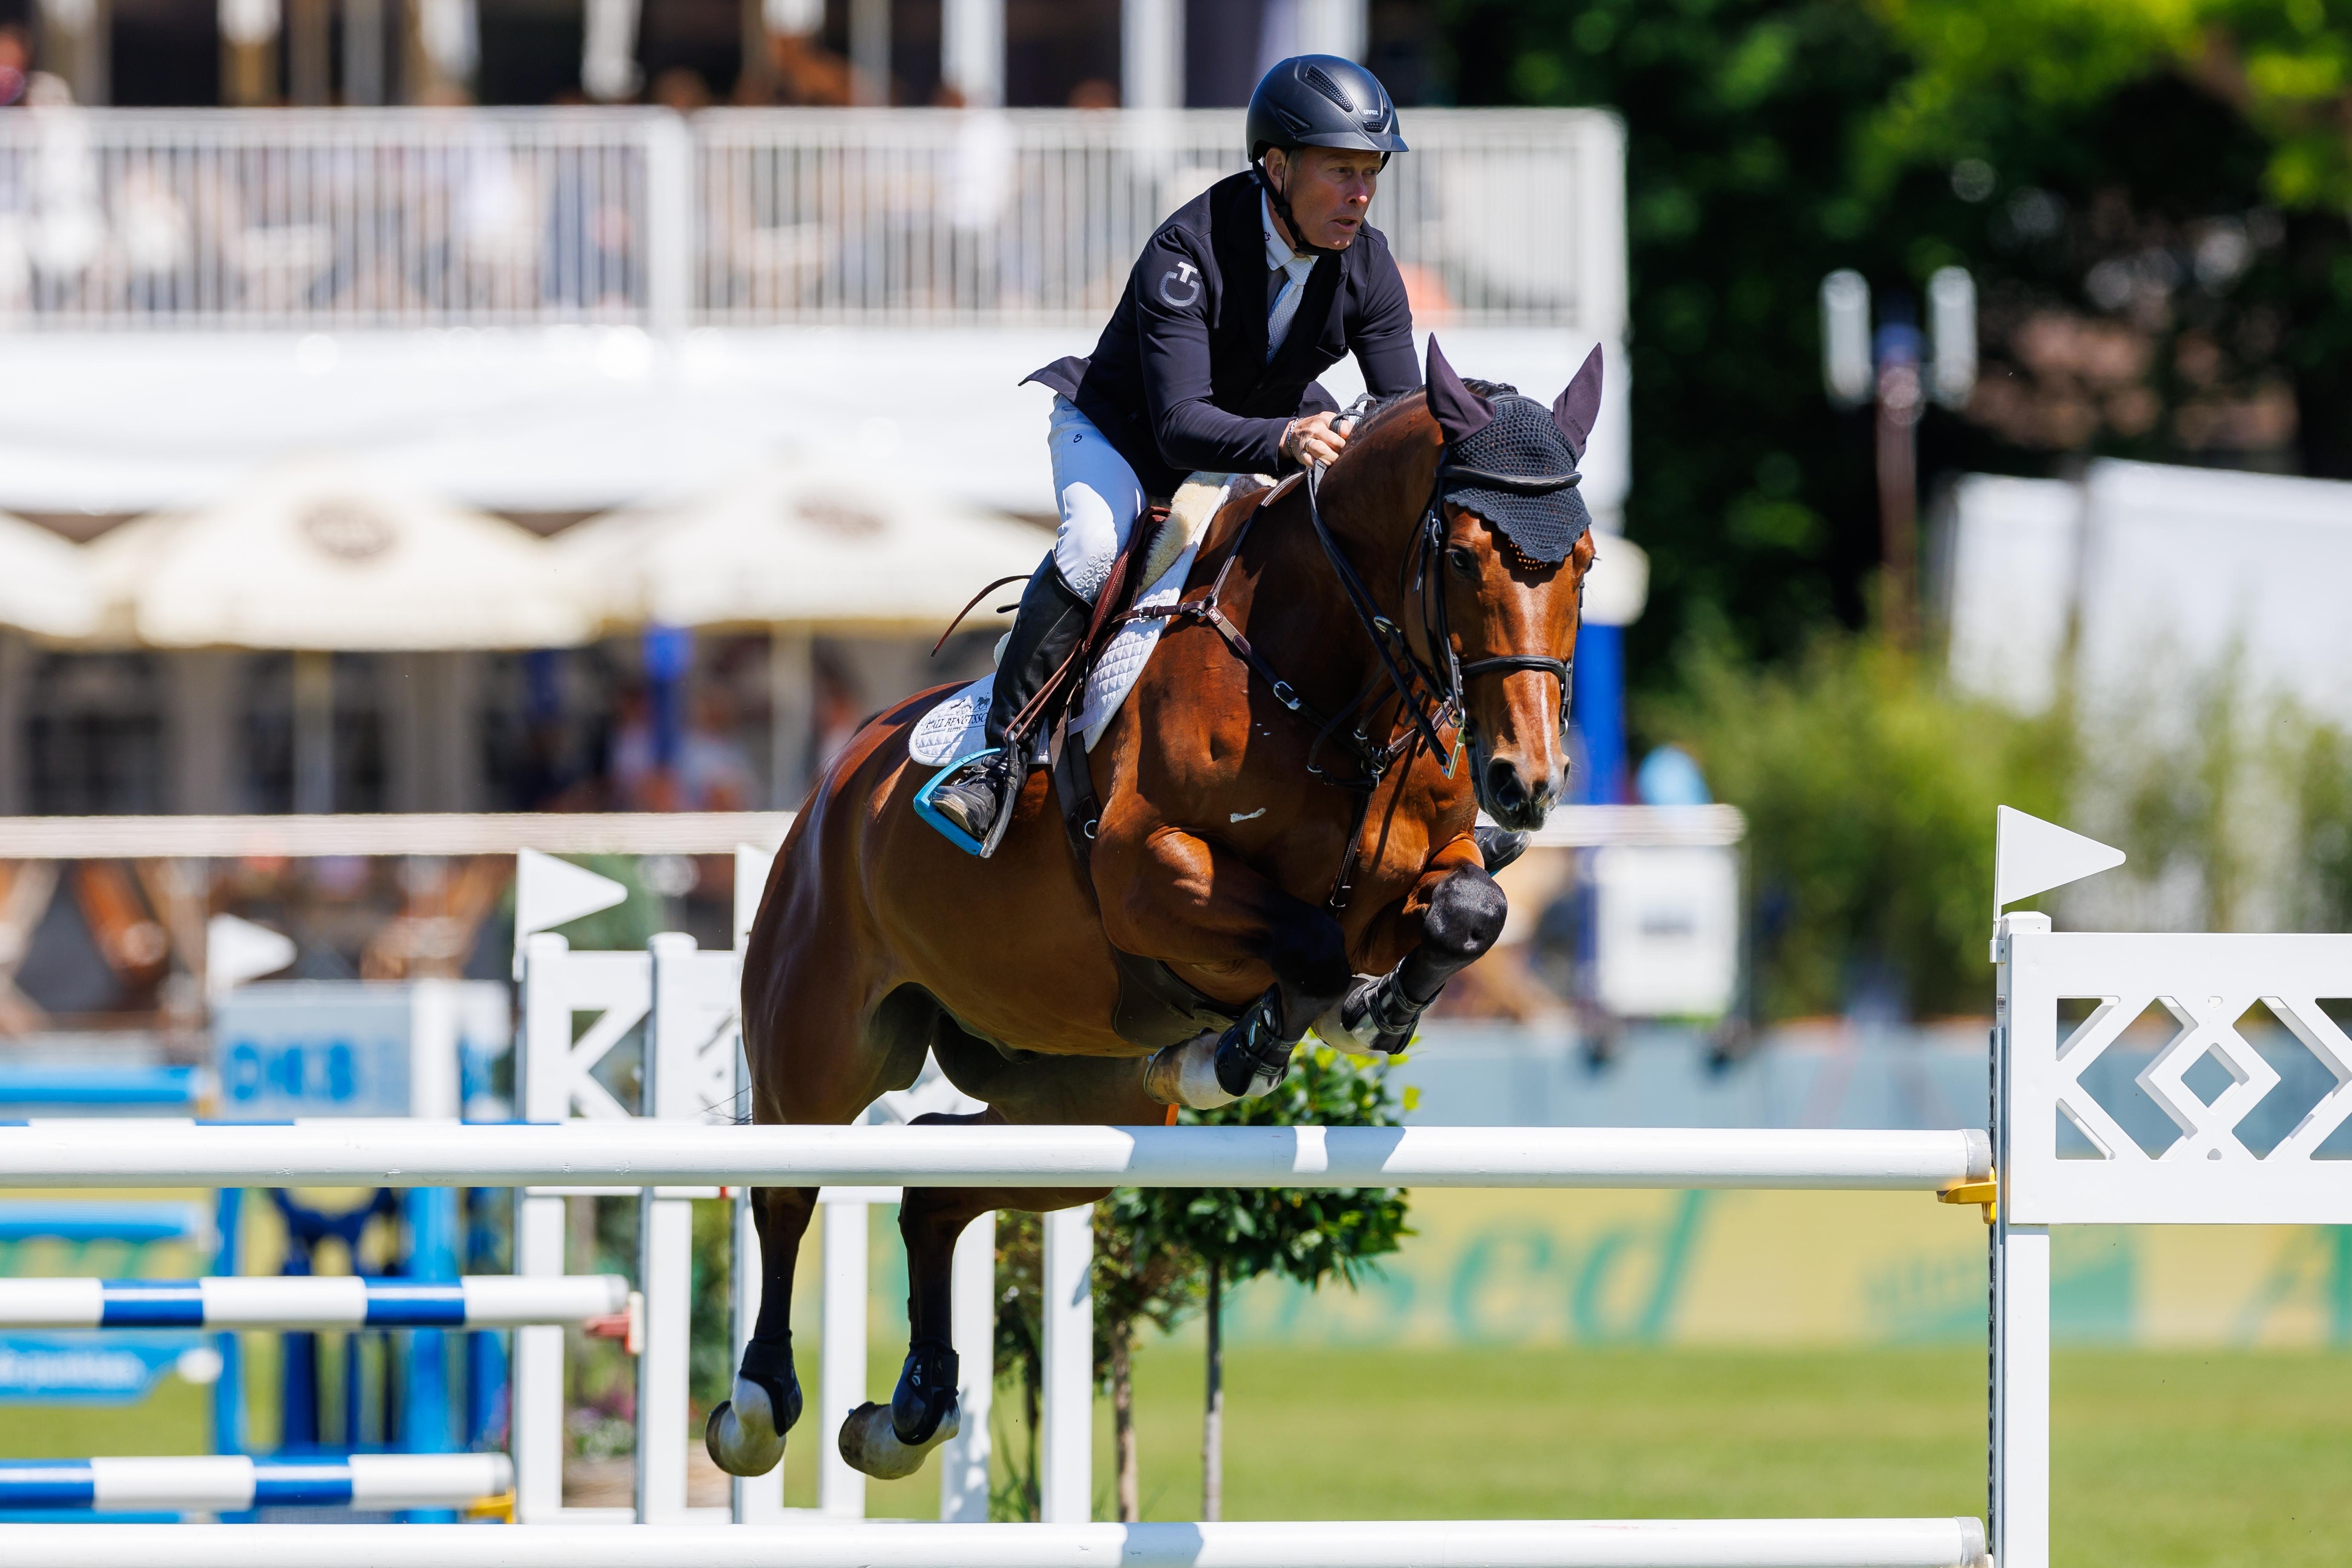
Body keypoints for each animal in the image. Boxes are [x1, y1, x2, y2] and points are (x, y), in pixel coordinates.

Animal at [706, 341, 1608, 1485]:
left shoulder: (1422, 874)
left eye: (1584, 560)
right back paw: (756, 1405)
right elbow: (1309, 944)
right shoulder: (1149, 875)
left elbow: (1467, 910)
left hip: (1080, 1101)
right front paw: (1257, 1043)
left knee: (939, 1188)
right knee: (785, 1189)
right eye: (1458, 555)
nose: (1526, 784)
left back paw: (909, 1411)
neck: (1333, 694)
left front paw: (1371, 1012)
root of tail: (833, 785)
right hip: (823, 1040)